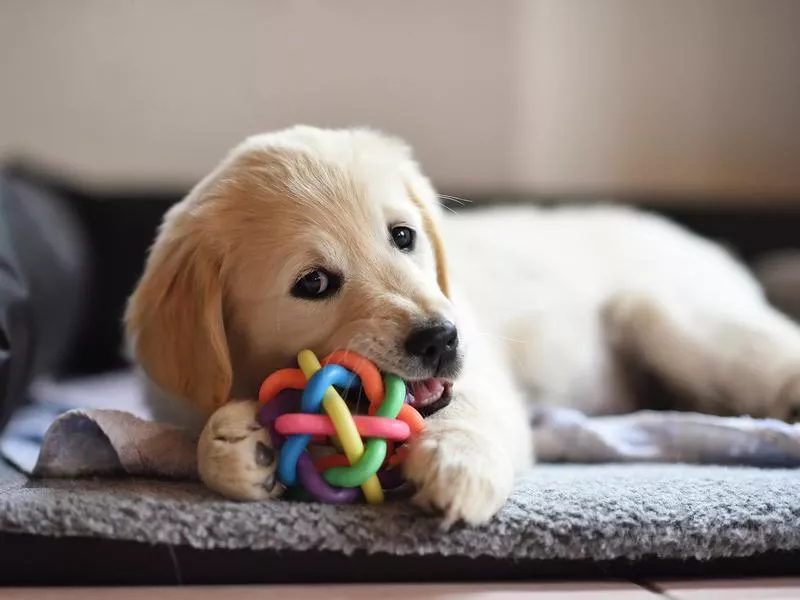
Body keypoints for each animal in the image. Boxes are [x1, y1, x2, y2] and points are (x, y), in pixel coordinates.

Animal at [126, 125, 800, 524]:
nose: (440, 339)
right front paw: (238, 445)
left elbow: (468, 411)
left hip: (664, 314)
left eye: (403, 236)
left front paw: (458, 464)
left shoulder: (483, 377)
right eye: (312, 284)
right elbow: (201, 437)